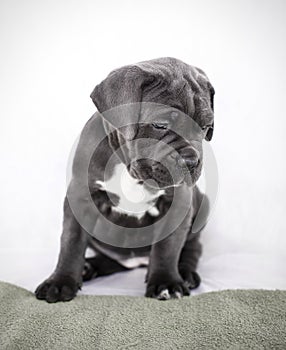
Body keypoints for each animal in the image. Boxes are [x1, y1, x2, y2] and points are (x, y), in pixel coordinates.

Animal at [35, 56, 214, 300]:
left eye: (205, 128)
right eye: (160, 125)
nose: (191, 161)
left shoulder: (178, 204)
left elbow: (168, 247)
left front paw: (166, 282)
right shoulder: (80, 197)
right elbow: (71, 242)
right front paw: (61, 281)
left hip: (202, 205)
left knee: (192, 248)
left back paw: (185, 273)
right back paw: (88, 267)